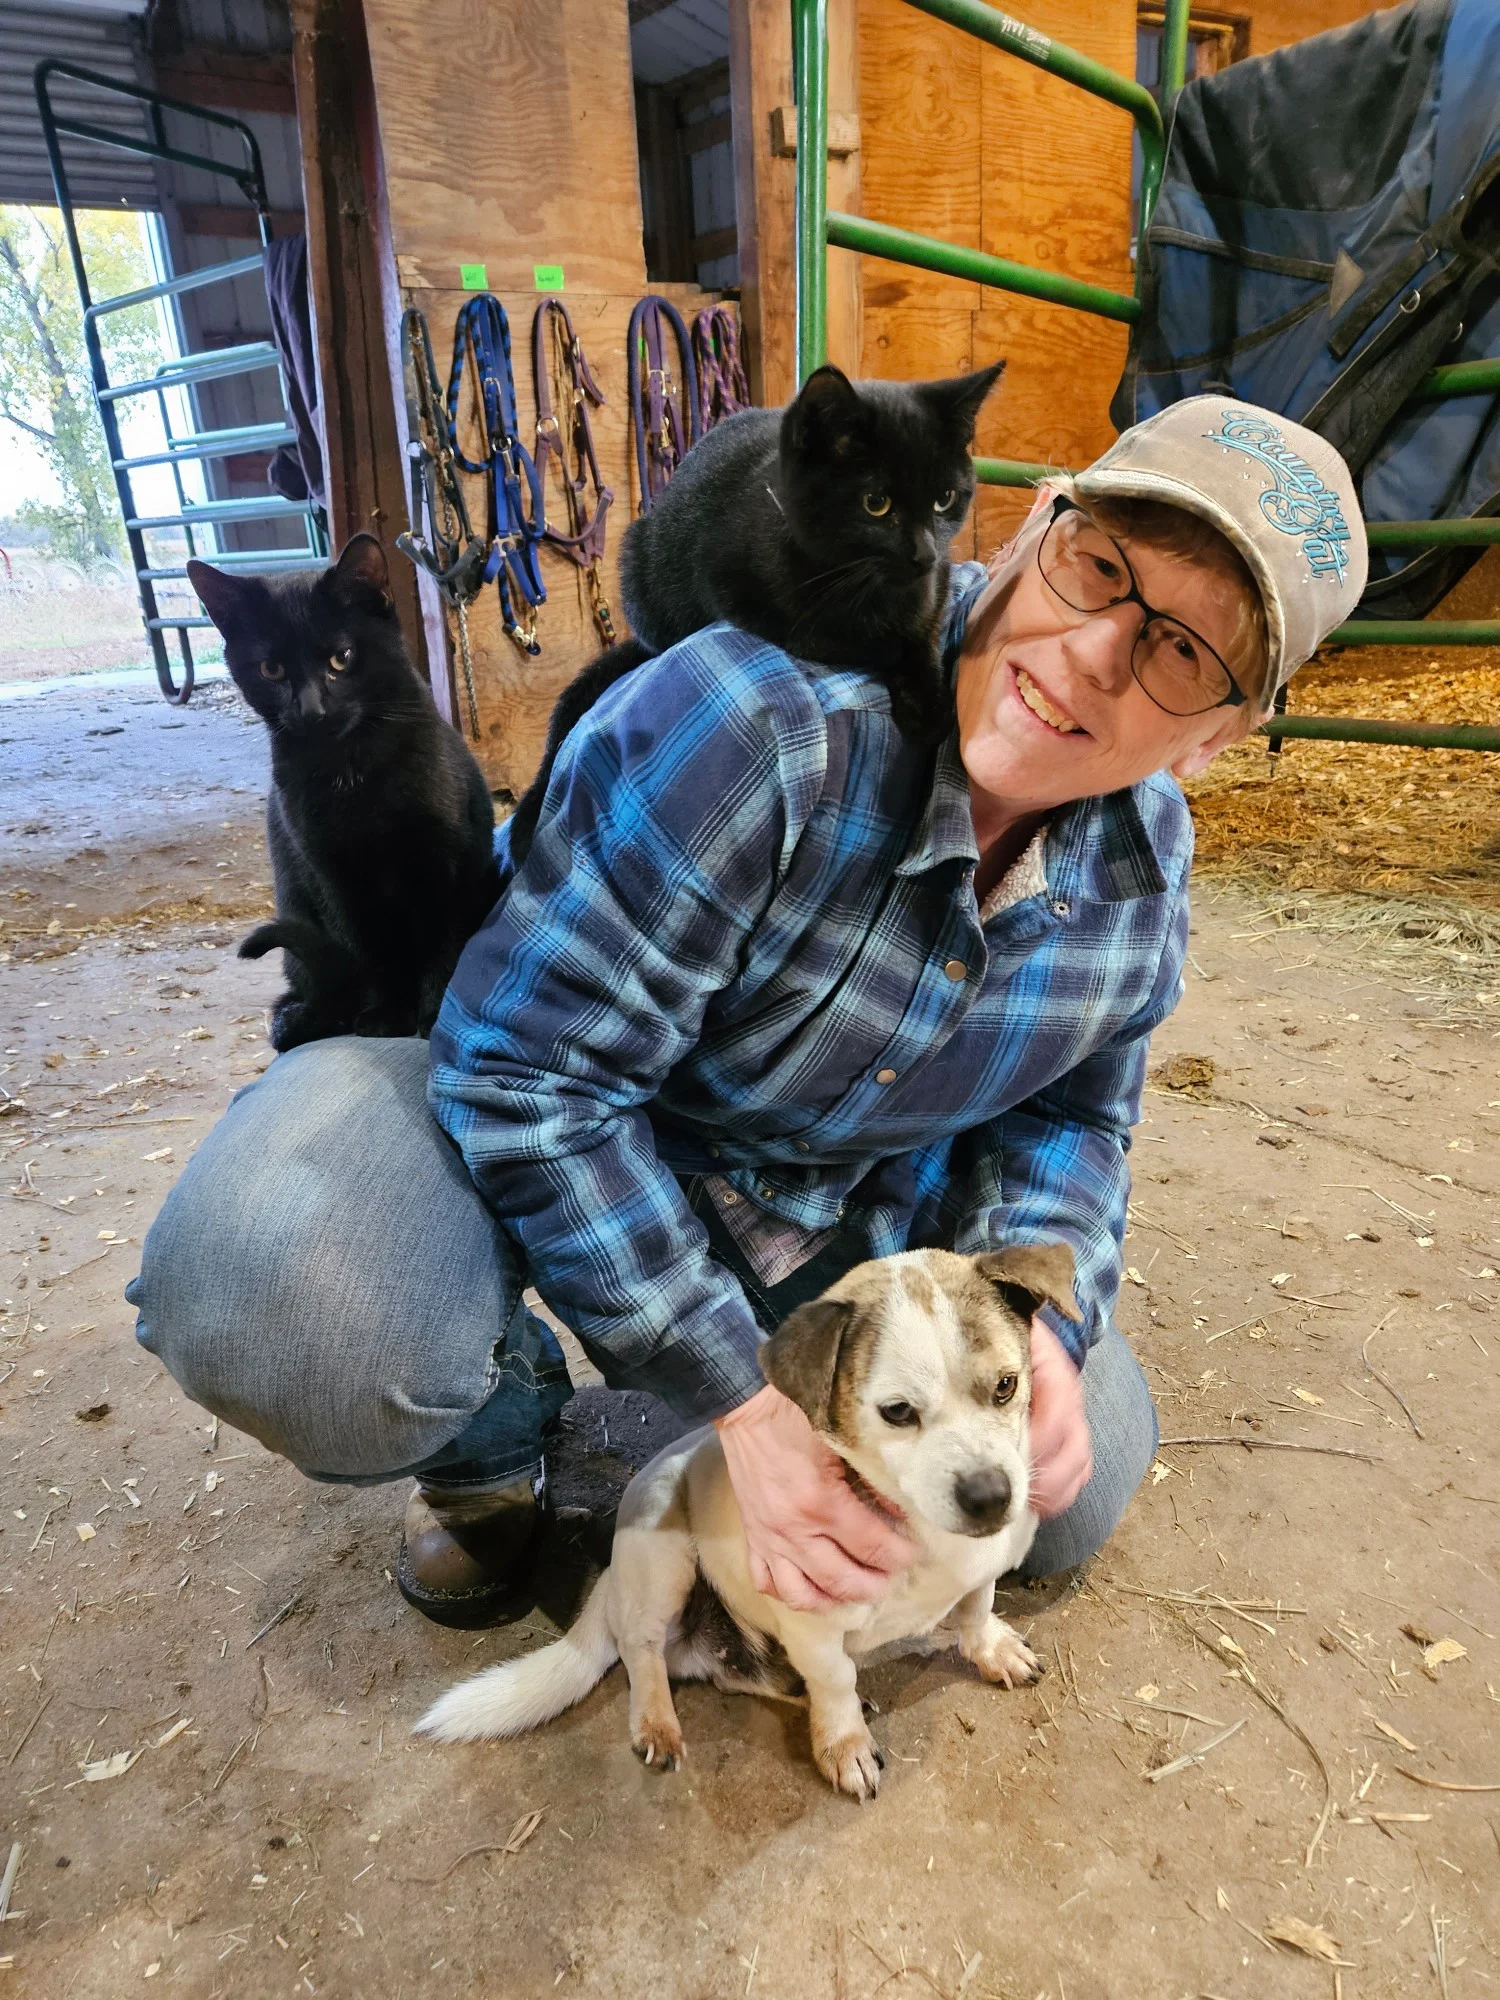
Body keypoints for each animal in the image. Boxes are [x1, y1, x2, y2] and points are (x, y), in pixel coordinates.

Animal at [187, 534, 499, 1052]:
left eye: (342, 657)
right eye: (271, 669)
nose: (312, 709)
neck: (352, 772)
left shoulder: (444, 865)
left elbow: (444, 941)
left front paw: (434, 1013)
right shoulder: (335, 878)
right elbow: (374, 949)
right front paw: (388, 1014)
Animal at [415, 1241, 1080, 1799]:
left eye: (1007, 1385)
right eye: (897, 1412)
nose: (992, 1497)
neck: (925, 1534)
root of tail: (612, 1585)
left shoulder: (980, 1573)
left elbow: (977, 1607)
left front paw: (989, 1647)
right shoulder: (812, 1625)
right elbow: (836, 1678)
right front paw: (843, 1744)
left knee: (737, 1676)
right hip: (665, 1556)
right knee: (640, 1651)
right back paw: (658, 1723)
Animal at [506, 359, 1004, 865]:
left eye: (945, 499)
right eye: (876, 504)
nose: (924, 553)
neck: (867, 588)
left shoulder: (936, 583)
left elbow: (924, 631)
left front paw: (929, 699)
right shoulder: (740, 595)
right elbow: (852, 640)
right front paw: (909, 682)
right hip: (637, 567)